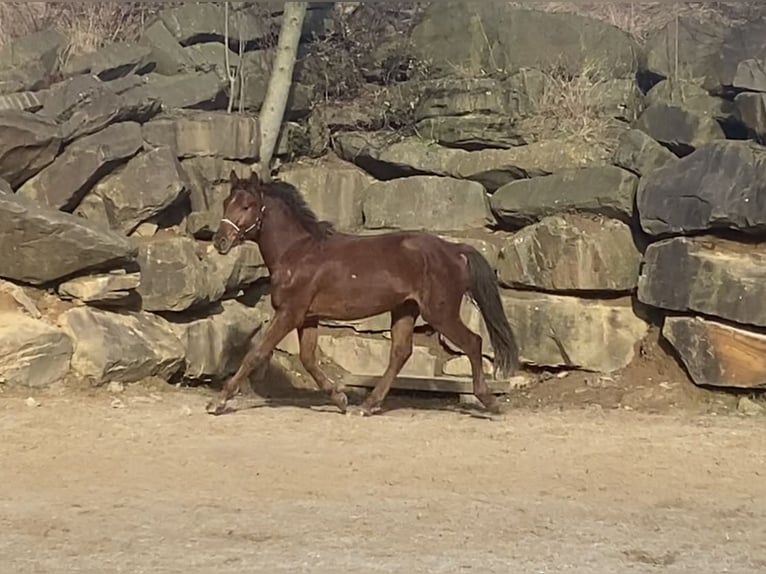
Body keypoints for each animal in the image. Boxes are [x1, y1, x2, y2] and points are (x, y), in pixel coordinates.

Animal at [208, 171, 520, 418]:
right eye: (226, 203)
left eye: (247, 205)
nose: (220, 241)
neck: (297, 252)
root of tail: (454, 250)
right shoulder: (308, 317)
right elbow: (308, 358)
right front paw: (340, 399)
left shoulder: (289, 313)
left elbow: (256, 353)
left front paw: (218, 402)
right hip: (405, 309)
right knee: (401, 352)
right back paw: (369, 405)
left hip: (440, 313)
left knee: (473, 342)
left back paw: (489, 401)